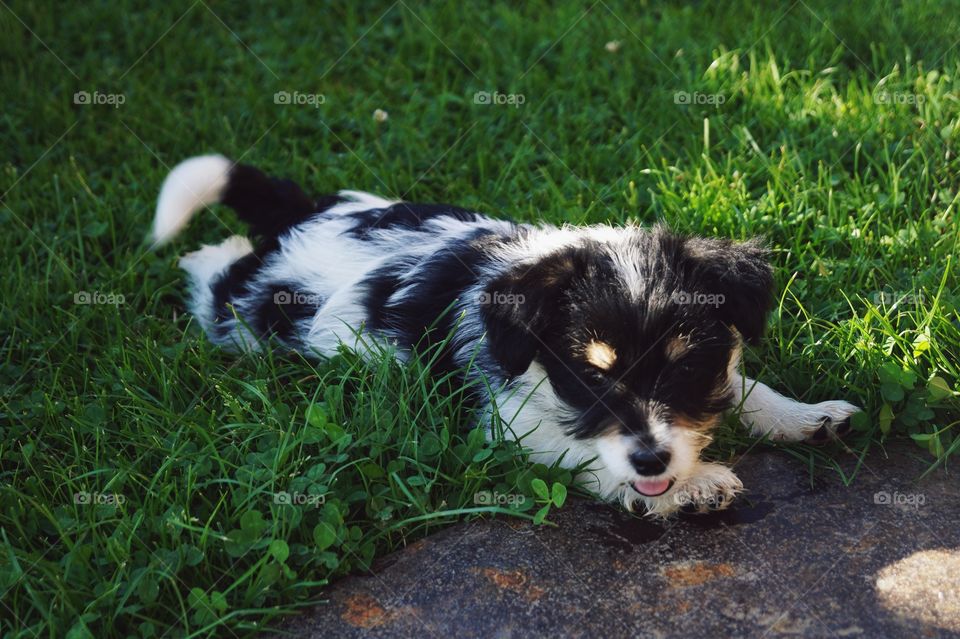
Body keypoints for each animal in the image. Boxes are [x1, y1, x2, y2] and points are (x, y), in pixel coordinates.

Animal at [152, 155, 864, 520]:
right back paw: (200, 254)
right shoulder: (505, 423)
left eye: (682, 368)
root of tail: (305, 216)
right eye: (591, 375)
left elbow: (744, 385)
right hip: (247, 317)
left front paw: (806, 415)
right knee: (214, 274)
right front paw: (691, 487)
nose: (653, 461)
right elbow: (581, 451)